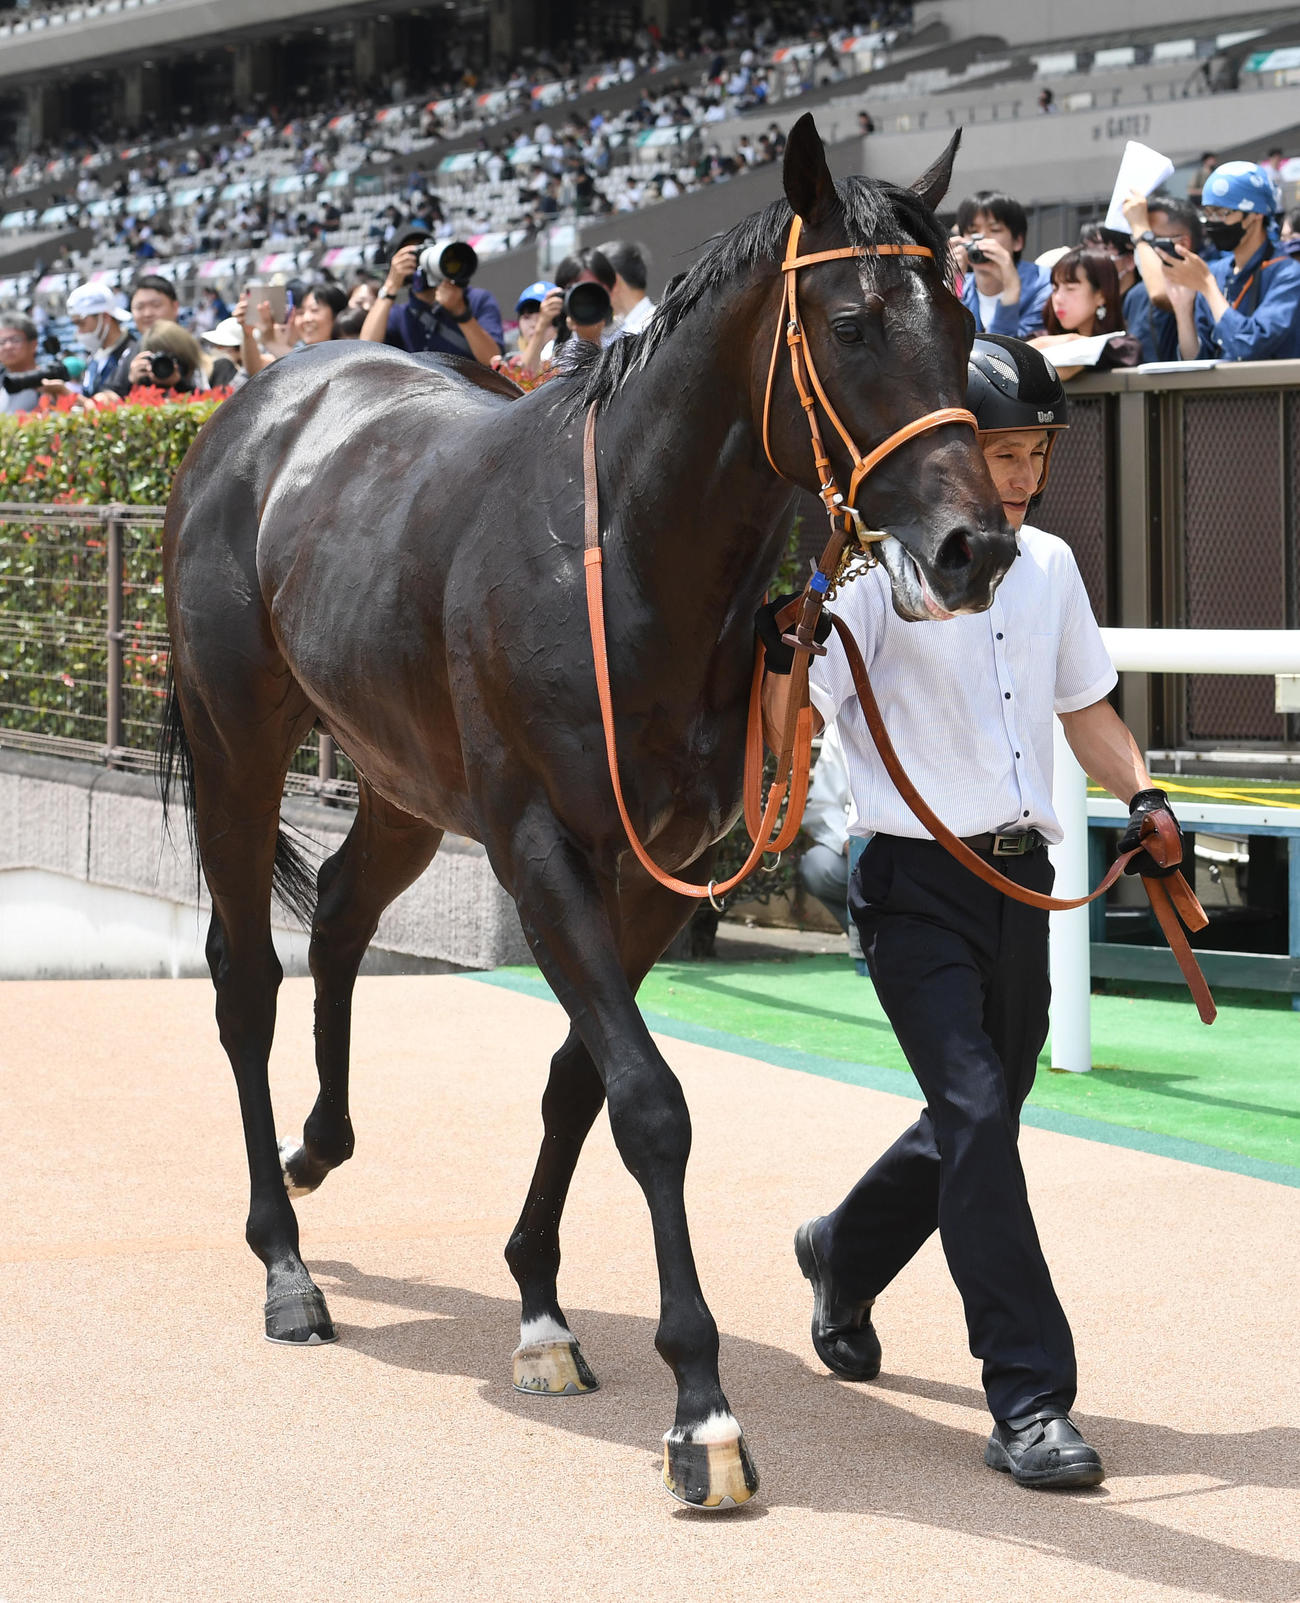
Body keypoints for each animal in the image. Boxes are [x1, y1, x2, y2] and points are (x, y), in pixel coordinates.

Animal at [159, 114, 1014, 1510]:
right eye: (849, 324)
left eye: (958, 309)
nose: (972, 548)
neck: (622, 556)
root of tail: (260, 397)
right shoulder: (541, 842)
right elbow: (649, 1101)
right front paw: (701, 1409)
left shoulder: (659, 862)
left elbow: (581, 1078)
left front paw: (542, 1311)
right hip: (240, 739)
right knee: (245, 977)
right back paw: (283, 1260)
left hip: (402, 769)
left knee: (338, 912)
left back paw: (319, 1142)